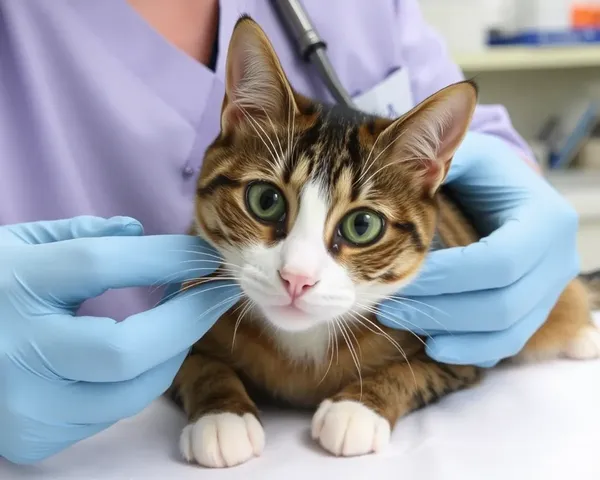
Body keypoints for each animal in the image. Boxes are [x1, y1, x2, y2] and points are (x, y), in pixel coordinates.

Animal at [168, 15, 600, 468]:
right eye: (265, 201)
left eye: (362, 226)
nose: (296, 278)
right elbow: (190, 362)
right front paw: (222, 413)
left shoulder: (465, 349)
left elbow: (418, 369)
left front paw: (357, 407)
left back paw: (581, 332)